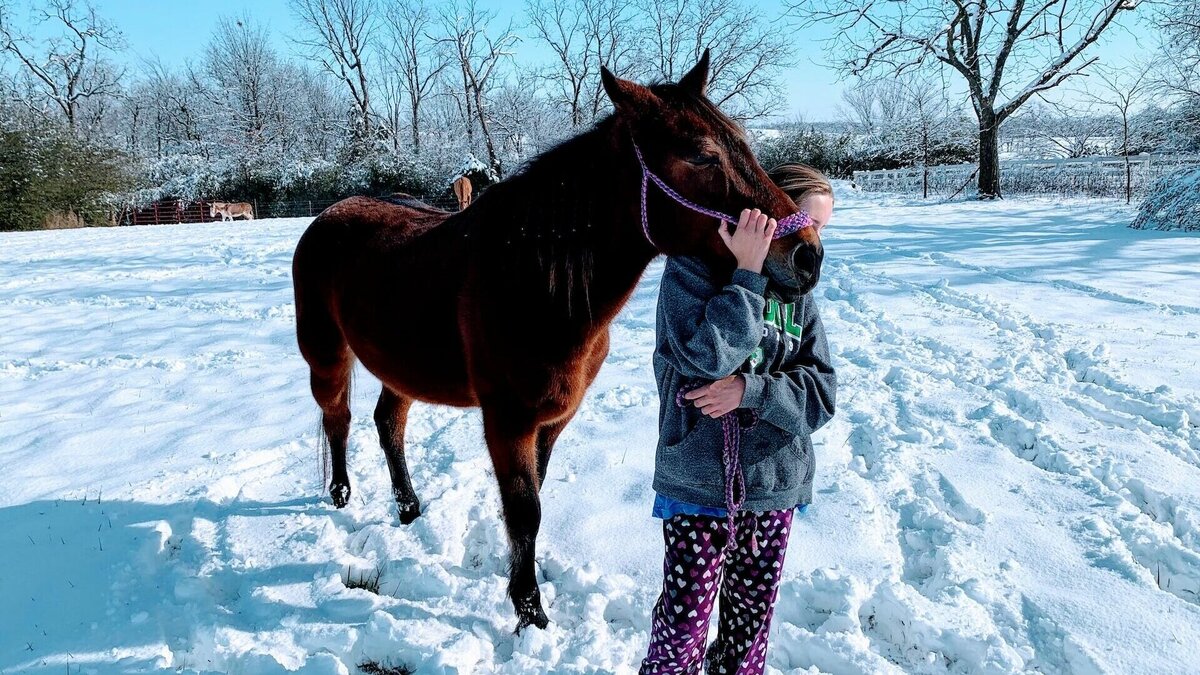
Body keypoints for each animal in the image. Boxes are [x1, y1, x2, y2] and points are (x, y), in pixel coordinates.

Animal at [288, 49, 825, 629]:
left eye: (743, 141)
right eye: (702, 156)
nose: (807, 254)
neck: (532, 283)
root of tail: (329, 215)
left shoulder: (552, 420)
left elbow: (534, 500)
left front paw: (524, 585)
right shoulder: (508, 421)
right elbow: (524, 511)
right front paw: (530, 611)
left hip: (401, 365)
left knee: (389, 422)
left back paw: (409, 508)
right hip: (326, 356)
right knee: (337, 417)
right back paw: (341, 493)